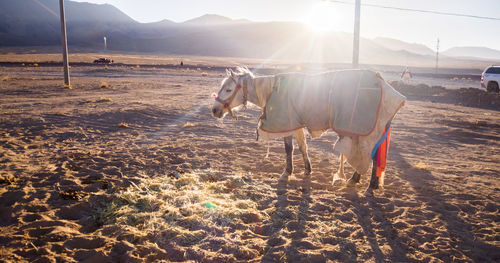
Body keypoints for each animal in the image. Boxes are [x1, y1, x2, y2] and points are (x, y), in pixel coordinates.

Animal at [211, 67, 406, 192]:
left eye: (228, 89)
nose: (214, 110)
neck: (272, 90)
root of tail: (384, 84)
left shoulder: (288, 124)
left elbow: (289, 149)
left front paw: (287, 172)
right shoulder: (297, 125)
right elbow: (302, 147)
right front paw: (307, 170)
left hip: (366, 131)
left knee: (371, 154)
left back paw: (368, 184)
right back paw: (359, 180)